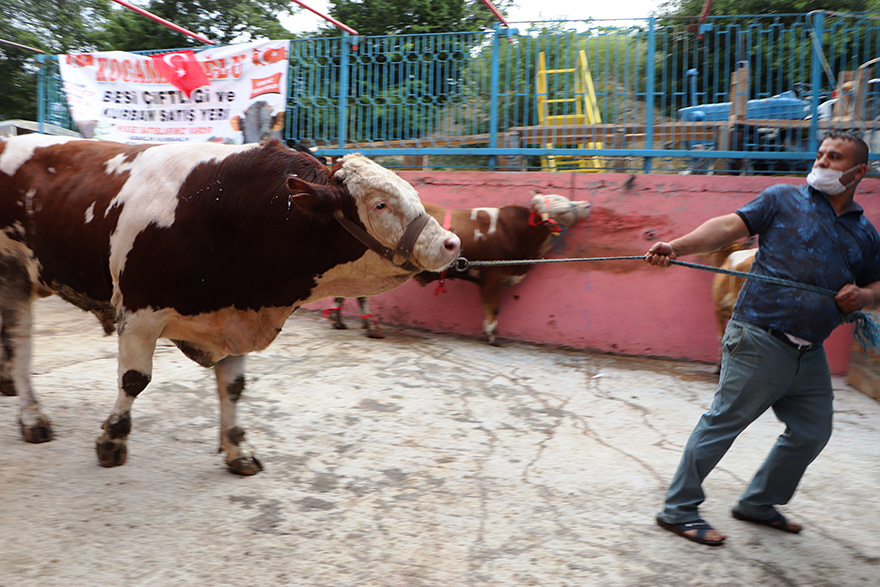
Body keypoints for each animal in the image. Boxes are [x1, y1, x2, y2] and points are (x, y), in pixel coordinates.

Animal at [0, 136, 464, 476]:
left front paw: (238, 449)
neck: (231, 210)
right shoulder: (138, 312)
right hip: (14, 272)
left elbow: (233, 387)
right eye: (379, 204)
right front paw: (112, 439)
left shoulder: (237, 315)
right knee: (21, 341)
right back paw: (32, 416)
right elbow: (133, 381)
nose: (451, 243)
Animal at [330, 194, 592, 344]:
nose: (587, 204)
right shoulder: (493, 277)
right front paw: (493, 335)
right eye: (564, 210)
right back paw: (366, 326)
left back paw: (340, 319)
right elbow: (493, 307)